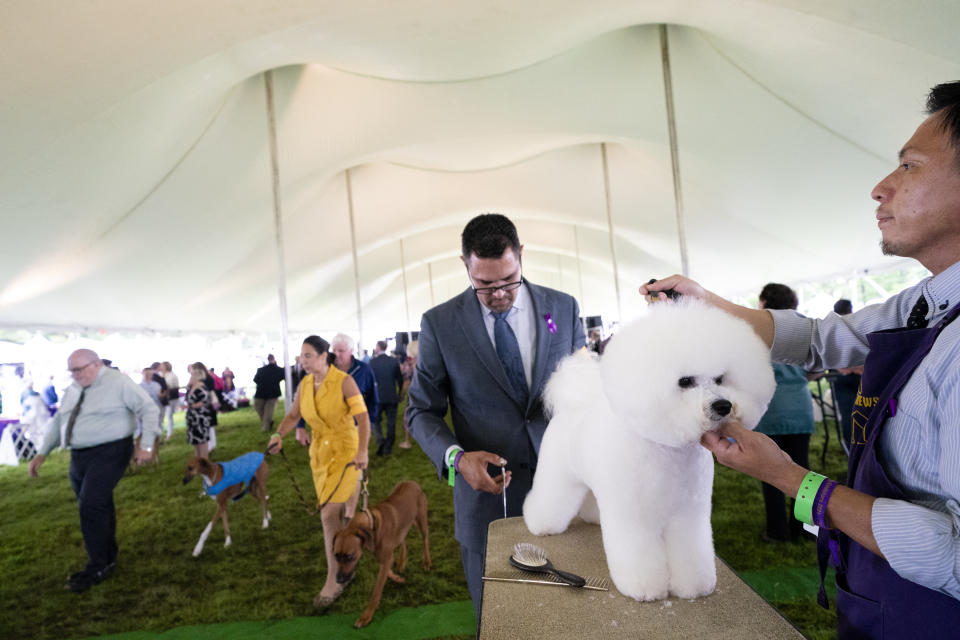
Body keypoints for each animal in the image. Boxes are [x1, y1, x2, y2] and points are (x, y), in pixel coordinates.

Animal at [334, 480, 432, 624]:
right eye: (335, 556)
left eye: (350, 556)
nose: (338, 580)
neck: (371, 524)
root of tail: (411, 482)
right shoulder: (382, 557)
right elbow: (387, 570)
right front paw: (397, 577)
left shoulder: (385, 557)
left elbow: (377, 589)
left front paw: (367, 615)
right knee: (402, 539)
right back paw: (402, 561)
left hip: (421, 520)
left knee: (425, 538)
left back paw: (426, 561)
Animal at [520, 300, 776, 600]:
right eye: (685, 381)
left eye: (721, 379)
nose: (723, 406)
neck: (667, 451)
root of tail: (572, 404)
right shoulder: (634, 516)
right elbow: (639, 554)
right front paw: (644, 587)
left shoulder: (689, 513)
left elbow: (691, 550)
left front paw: (694, 586)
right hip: (558, 475)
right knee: (549, 498)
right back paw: (541, 524)